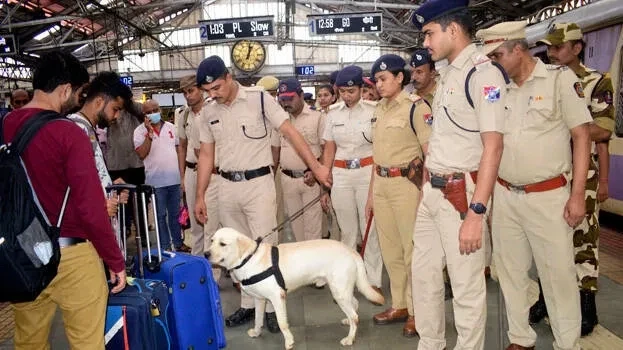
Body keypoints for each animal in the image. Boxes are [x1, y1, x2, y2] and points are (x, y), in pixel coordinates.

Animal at [208, 227, 386, 350]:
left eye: (223, 244)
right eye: (211, 240)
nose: (205, 254)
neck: (248, 258)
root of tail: (351, 251)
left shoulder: (277, 297)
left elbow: (282, 323)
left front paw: (289, 341)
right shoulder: (259, 299)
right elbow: (258, 319)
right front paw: (257, 332)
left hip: (339, 291)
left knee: (355, 316)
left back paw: (349, 338)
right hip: (342, 290)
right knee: (354, 306)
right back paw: (347, 322)